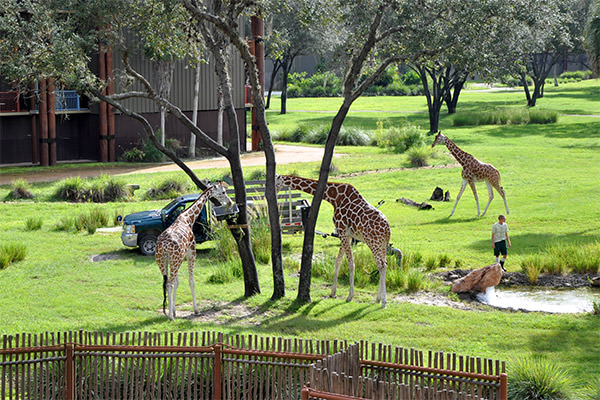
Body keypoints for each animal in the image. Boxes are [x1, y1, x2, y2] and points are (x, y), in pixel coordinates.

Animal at [156, 183, 233, 320]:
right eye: (223, 192)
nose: (230, 202)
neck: (188, 218)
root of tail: (163, 246)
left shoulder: (180, 258)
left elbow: (177, 282)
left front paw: (174, 310)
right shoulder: (191, 252)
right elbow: (191, 281)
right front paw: (196, 310)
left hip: (163, 262)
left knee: (167, 283)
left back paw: (169, 313)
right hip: (175, 260)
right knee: (169, 284)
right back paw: (170, 317)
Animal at [274, 173, 392, 308]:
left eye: (276, 182)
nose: (274, 192)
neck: (334, 197)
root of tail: (388, 229)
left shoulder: (342, 231)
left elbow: (351, 264)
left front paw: (349, 296)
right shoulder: (346, 234)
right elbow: (338, 261)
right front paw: (332, 292)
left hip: (372, 242)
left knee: (381, 265)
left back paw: (383, 302)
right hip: (382, 244)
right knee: (384, 264)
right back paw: (378, 299)